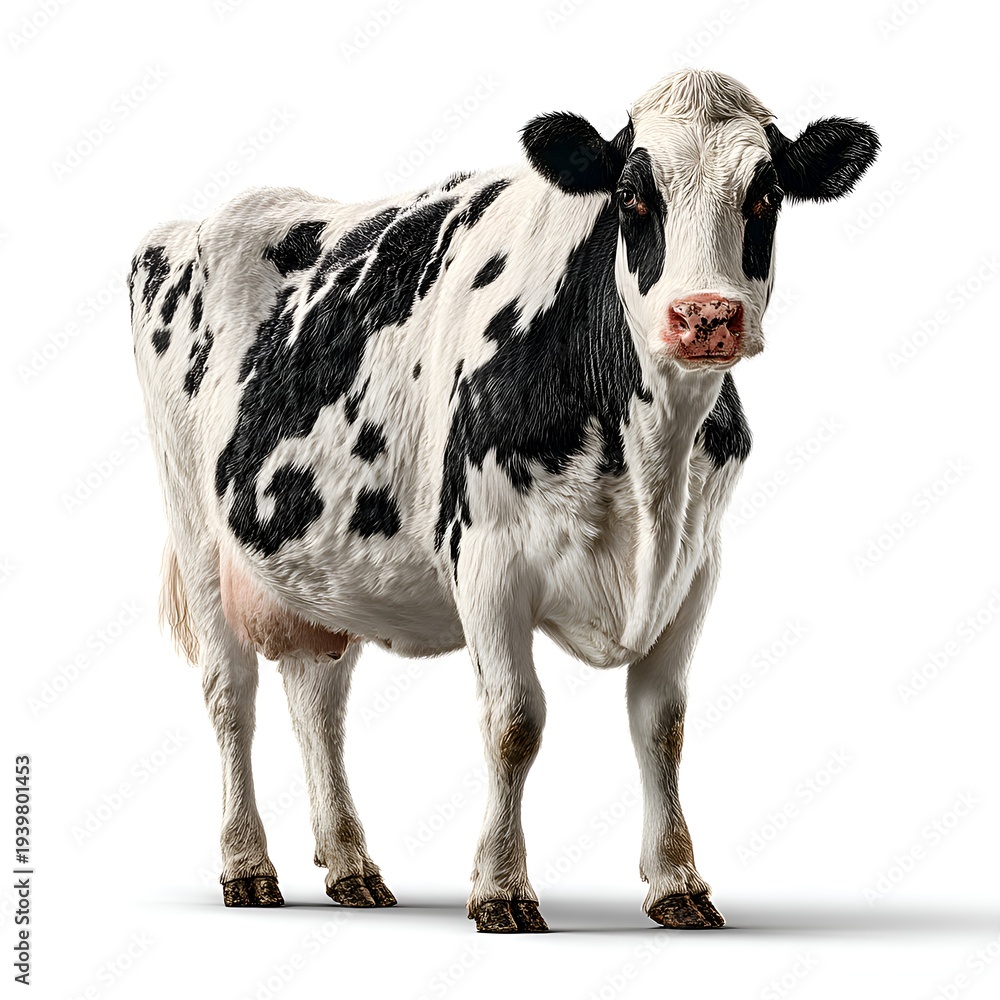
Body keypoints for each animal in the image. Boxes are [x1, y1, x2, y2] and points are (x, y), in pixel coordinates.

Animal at [130, 69, 878, 932]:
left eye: (766, 193)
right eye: (632, 194)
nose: (704, 316)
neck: (650, 459)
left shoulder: (695, 569)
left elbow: (662, 725)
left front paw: (678, 882)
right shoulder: (486, 559)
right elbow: (515, 721)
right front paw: (501, 888)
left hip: (321, 563)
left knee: (318, 700)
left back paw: (351, 865)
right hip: (195, 527)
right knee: (231, 696)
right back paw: (247, 867)